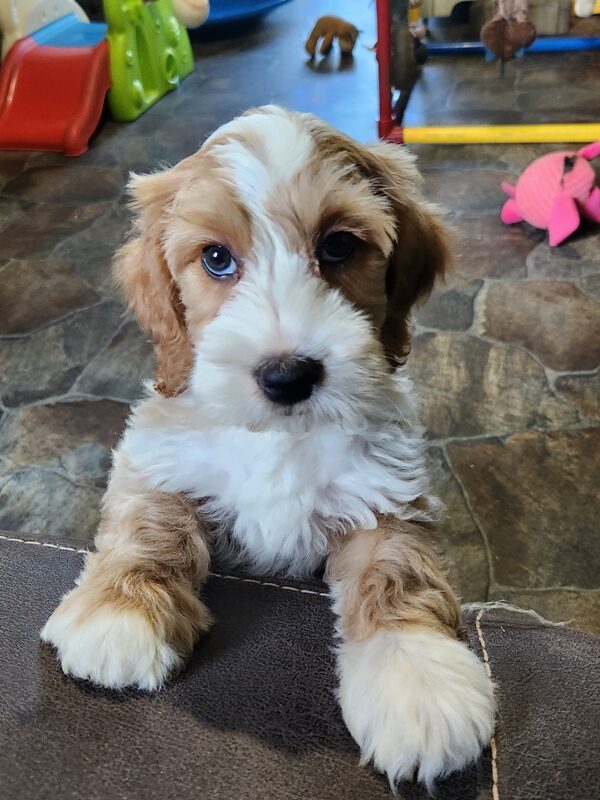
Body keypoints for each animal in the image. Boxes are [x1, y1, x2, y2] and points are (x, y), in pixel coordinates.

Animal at [41, 104, 492, 788]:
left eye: (338, 245)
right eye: (216, 258)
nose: (287, 375)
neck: (281, 436)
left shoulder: (385, 494)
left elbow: (398, 569)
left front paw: (417, 679)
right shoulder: (159, 451)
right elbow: (148, 521)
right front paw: (119, 612)